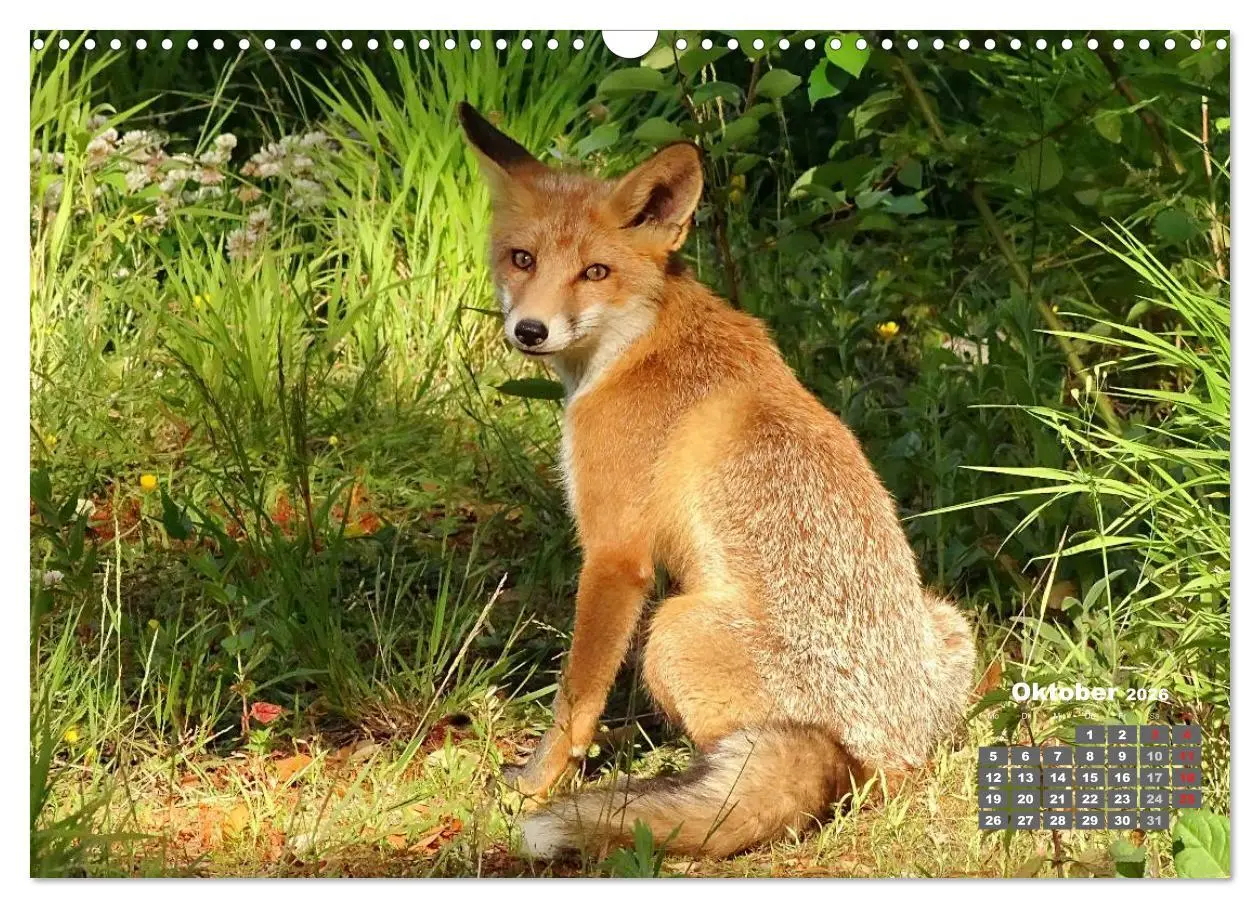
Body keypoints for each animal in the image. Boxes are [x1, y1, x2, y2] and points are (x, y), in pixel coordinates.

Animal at [457, 102, 976, 860]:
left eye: (594, 271)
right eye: (522, 259)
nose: (530, 330)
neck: (638, 341)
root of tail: (880, 760)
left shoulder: (616, 557)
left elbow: (575, 698)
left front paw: (537, 784)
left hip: (669, 629)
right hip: (950, 620)